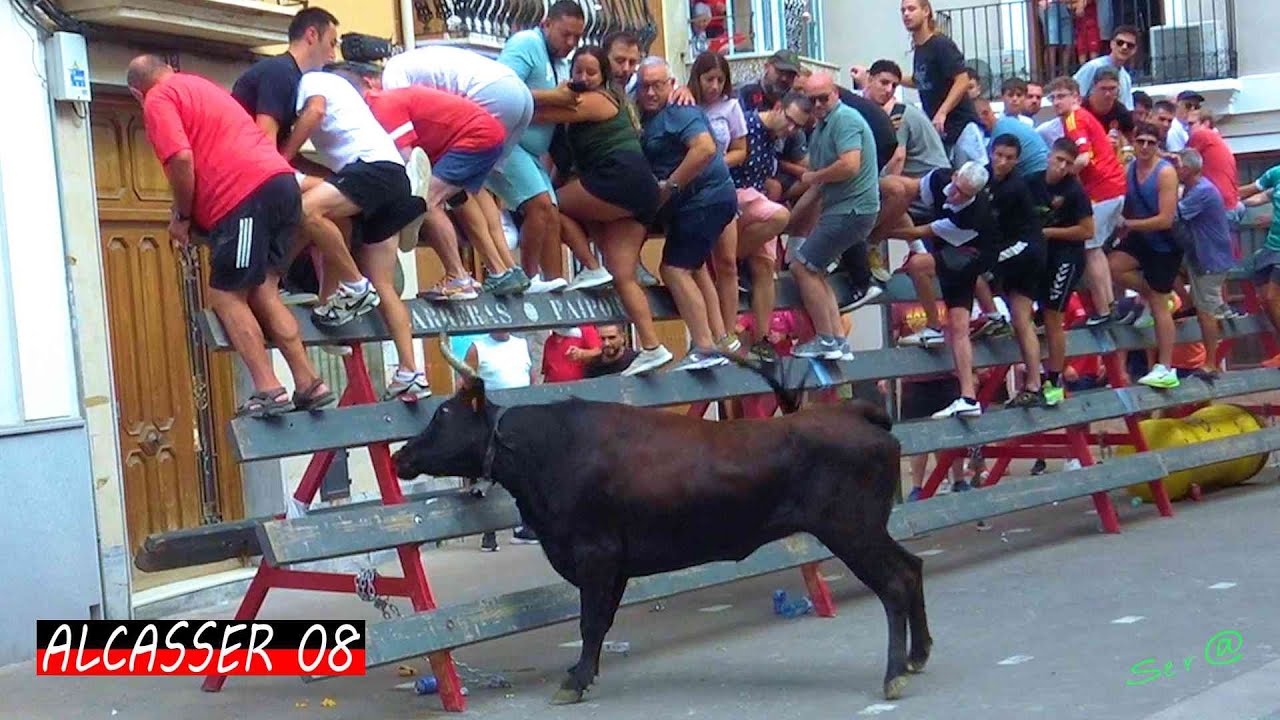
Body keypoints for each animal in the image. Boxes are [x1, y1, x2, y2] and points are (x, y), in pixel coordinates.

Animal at [392, 333, 931, 704]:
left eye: (442, 413)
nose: (401, 457)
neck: (546, 450)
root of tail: (854, 413)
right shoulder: (616, 563)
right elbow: (601, 621)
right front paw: (584, 674)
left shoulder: (595, 554)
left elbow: (590, 620)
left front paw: (575, 681)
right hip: (867, 529)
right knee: (912, 568)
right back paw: (918, 655)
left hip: (852, 530)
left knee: (894, 583)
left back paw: (893, 673)